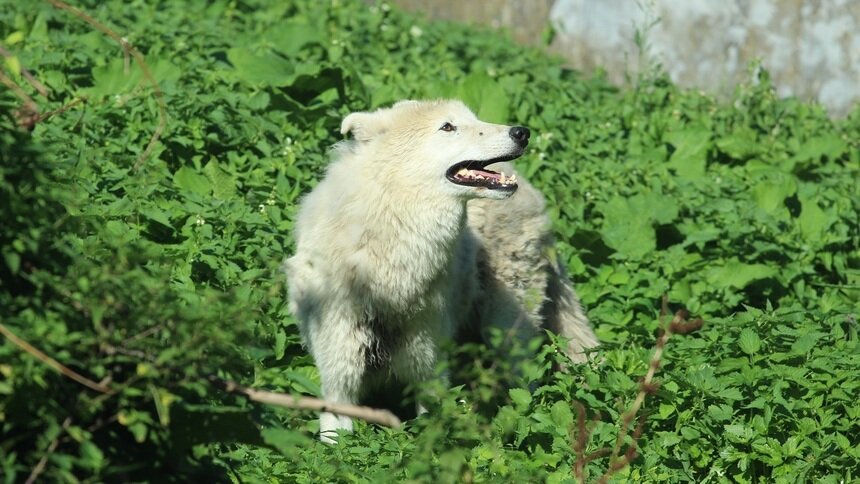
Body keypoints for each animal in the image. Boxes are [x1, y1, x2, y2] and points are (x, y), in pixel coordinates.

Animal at [286, 99, 596, 442]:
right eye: (448, 127)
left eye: (474, 118)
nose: (521, 133)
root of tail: (531, 192)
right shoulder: (339, 360)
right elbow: (336, 427)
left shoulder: (428, 354)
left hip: (507, 325)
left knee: (525, 384)